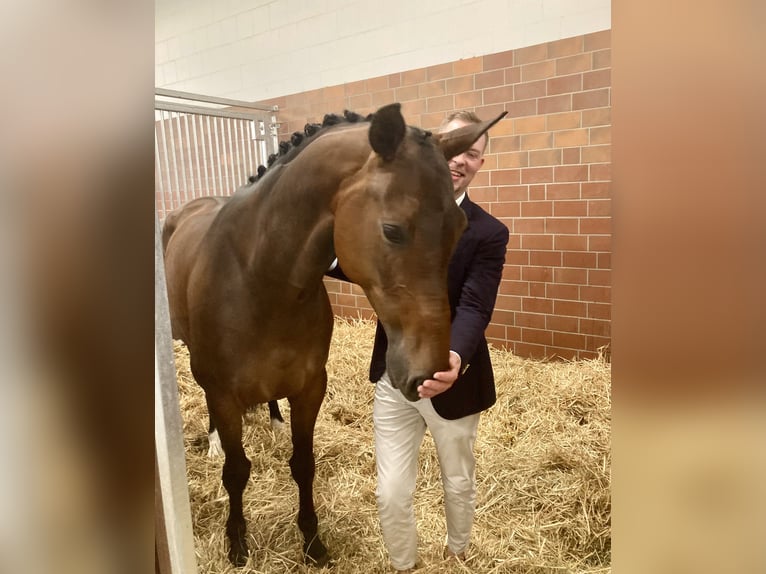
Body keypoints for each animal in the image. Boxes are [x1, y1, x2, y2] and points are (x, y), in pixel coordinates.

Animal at [164, 103, 504, 568]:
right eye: (392, 229)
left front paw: (312, 542)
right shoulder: (223, 393)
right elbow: (236, 471)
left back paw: (274, 422)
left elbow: (303, 463)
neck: (258, 276)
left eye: (460, 226)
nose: (430, 372)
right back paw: (215, 442)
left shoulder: (310, 388)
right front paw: (237, 542)